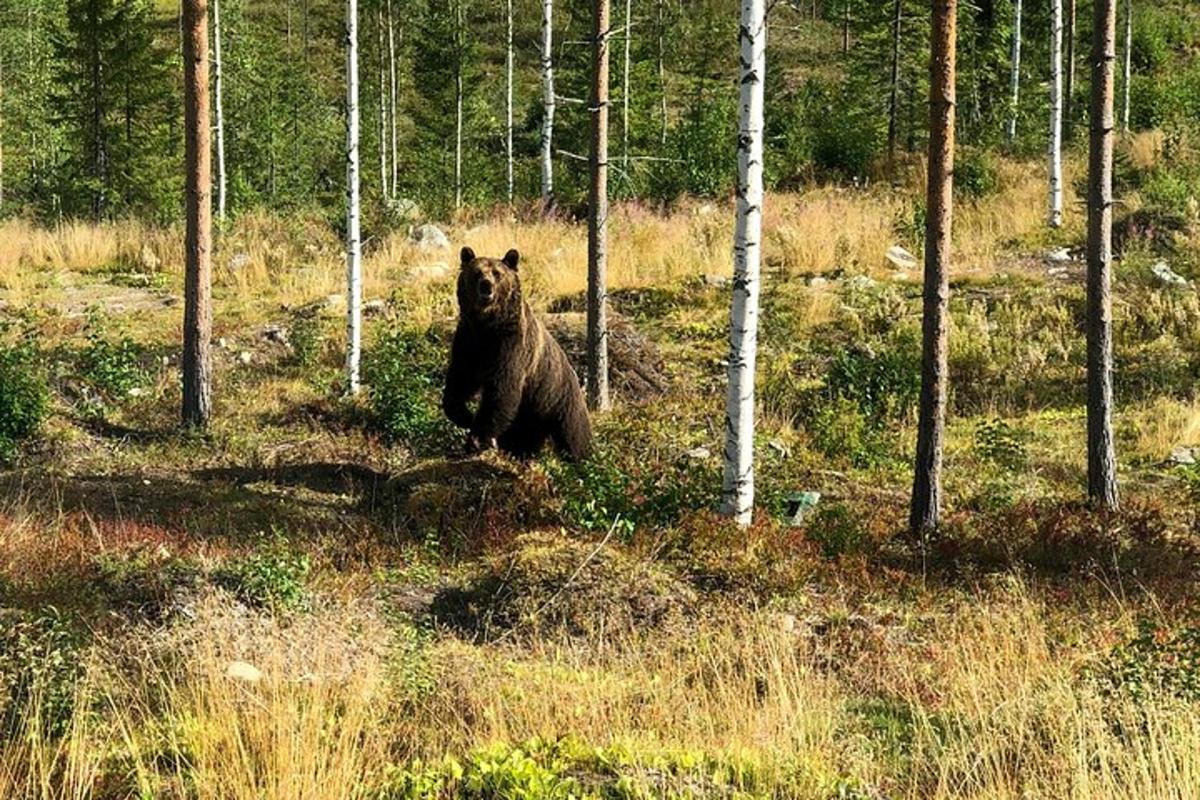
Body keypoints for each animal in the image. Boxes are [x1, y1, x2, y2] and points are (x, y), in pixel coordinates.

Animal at [444, 250, 592, 462]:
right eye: (476, 272)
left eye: (497, 273)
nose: (486, 285)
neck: (487, 325)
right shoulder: (469, 339)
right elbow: (461, 377)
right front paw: (464, 416)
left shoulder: (511, 344)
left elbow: (503, 387)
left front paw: (477, 439)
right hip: (531, 413)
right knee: (522, 437)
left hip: (560, 399)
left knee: (574, 436)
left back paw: (583, 459)